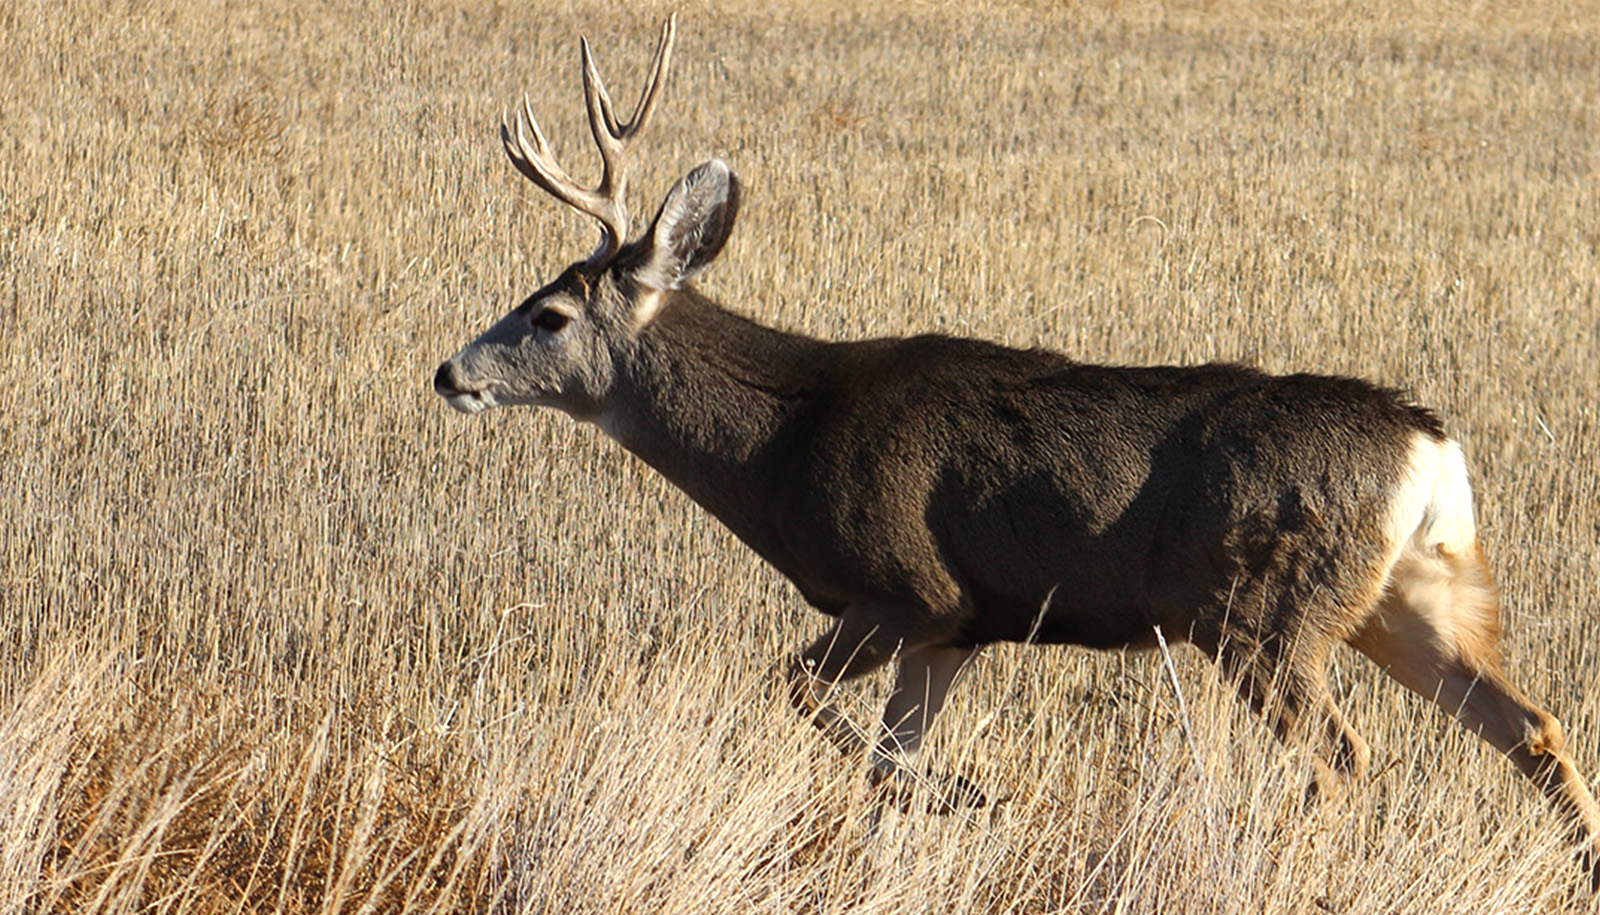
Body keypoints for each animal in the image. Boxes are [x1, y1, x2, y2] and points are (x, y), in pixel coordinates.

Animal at [432, 16, 1600, 876]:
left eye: (548, 315)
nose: (449, 373)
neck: (785, 447)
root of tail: (1430, 447)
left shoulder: (906, 586)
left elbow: (798, 692)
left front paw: (969, 793)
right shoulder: (961, 628)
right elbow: (877, 767)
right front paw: (923, 823)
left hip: (1265, 612)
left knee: (1348, 755)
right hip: (1410, 594)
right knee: (1534, 727)